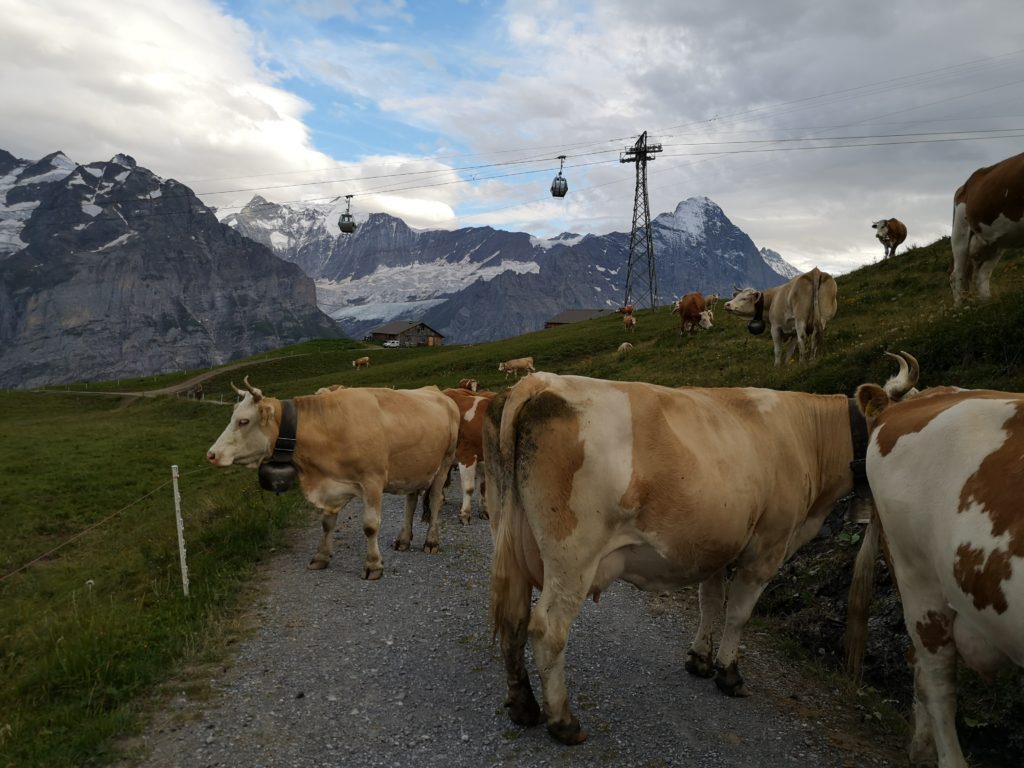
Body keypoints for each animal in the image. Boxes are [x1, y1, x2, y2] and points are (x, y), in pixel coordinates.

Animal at [205, 378, 458, 577]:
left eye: (244, 421)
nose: (212, 454)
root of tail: (439, 392)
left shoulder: (373, 481)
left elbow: (370, 526)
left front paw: (373, 565)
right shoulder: (330, 485)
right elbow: (327, 523)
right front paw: (321, 557)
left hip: (444, 463)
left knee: (435, 500)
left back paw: (431, 541)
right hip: (414, 468)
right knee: (411, 501)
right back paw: (404, 540)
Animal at [440, 387, 495, 528]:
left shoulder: (485, 460)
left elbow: (483, 487)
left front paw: (484, 512)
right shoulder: (466, 455)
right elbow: (469, 488)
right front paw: (465, 515)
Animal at [481, 372, 880, 745]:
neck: (807, 434)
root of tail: (539, 381)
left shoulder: (717, 544)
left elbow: (710, 602)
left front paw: (700, 660)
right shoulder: (767, 546)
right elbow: (738, 614)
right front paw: (729, 675)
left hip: (509, 537)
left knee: (514, 619)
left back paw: (523, 707)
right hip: (573, 555)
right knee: (548, 629)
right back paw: (563, 721)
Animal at [946, 151, 1019, 309]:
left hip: (995, 242)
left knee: (981, 274)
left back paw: (987, 303)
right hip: (960, 232)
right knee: (957, 274)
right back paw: (960, 308)